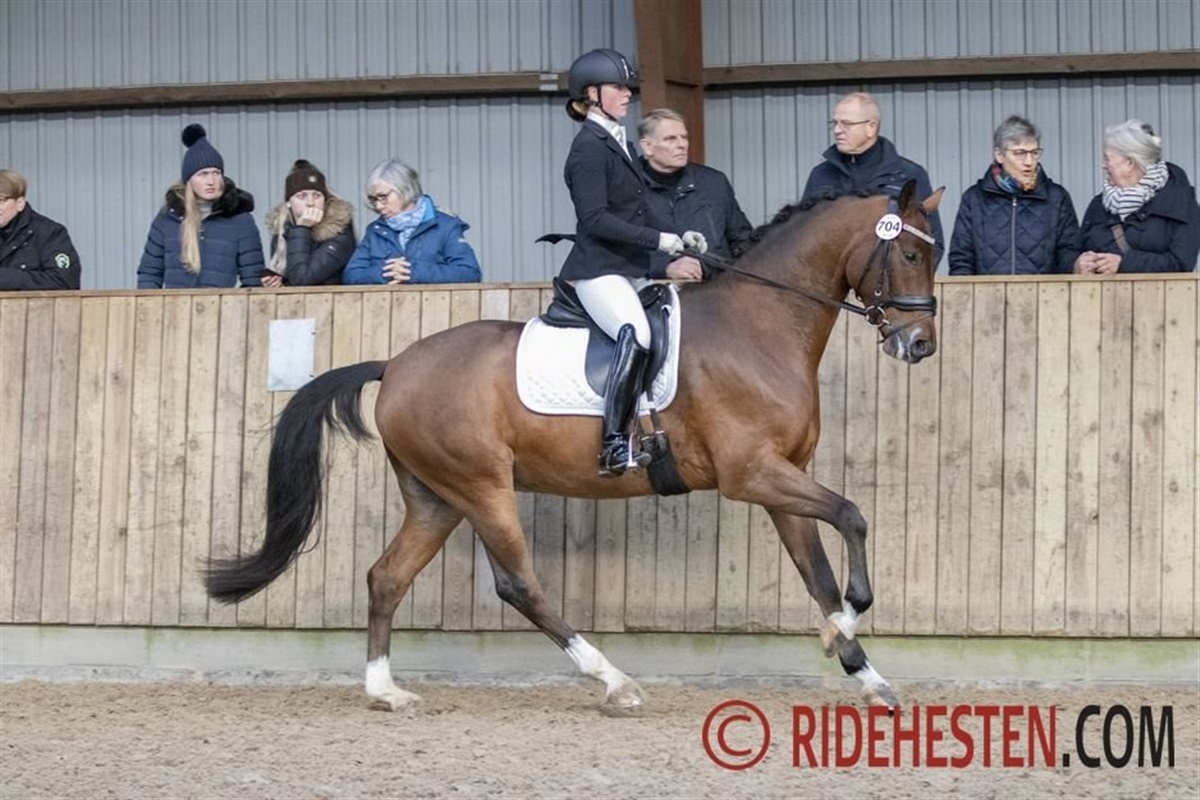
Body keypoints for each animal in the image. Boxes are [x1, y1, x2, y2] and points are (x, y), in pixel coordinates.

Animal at [206, 180, 944, 712]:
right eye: (909, 255)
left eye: (933, 255)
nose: (919, 346)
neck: (758, 324)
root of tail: (395, 366)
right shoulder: (751, 474)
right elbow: (853, 516)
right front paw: (848, 621)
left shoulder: (781, 477)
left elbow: (817, 571)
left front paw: (863, 668)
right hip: (482, 487)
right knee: (519, 584)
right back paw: (614, 681)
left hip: (436, 498)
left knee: (387, 576)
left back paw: (385, 692)